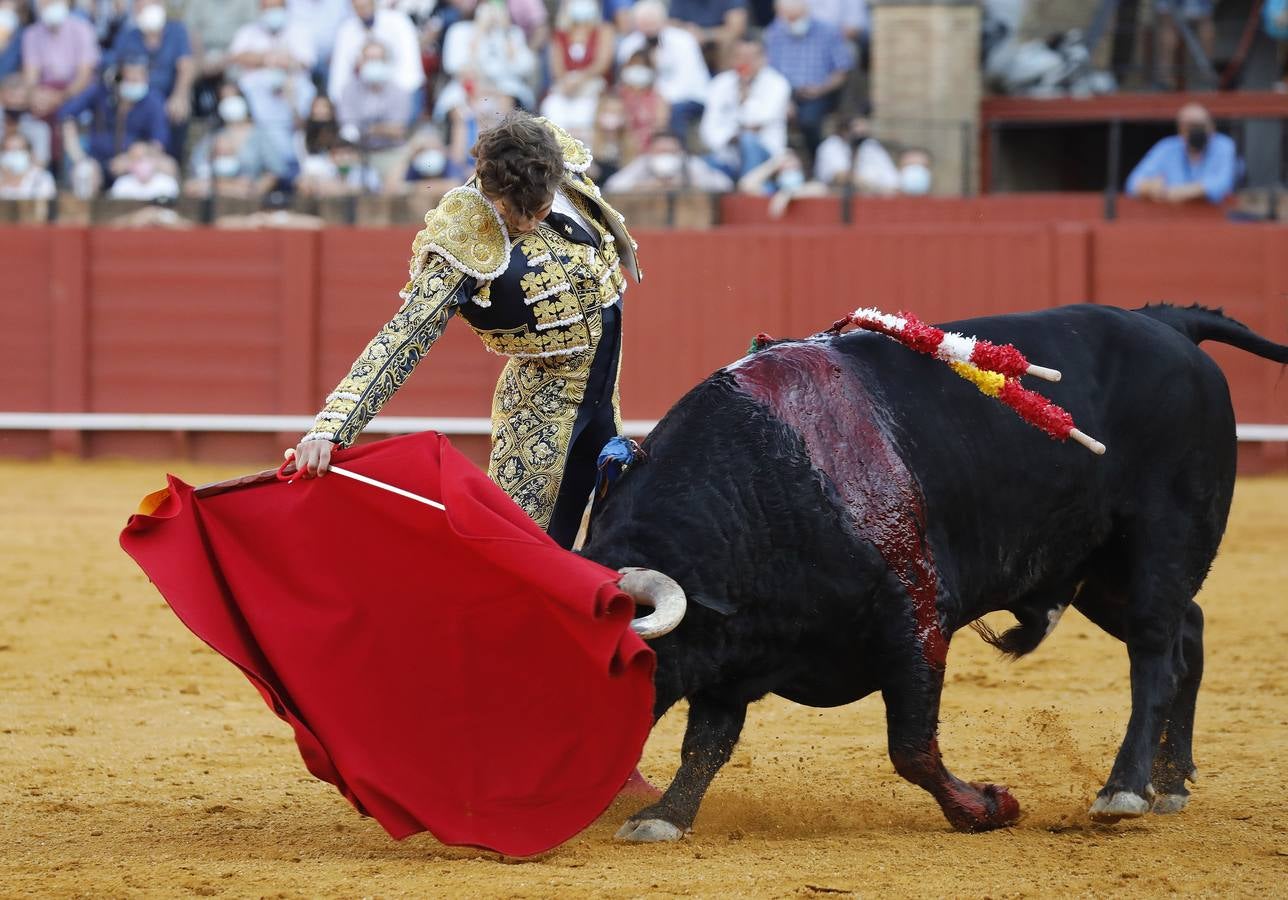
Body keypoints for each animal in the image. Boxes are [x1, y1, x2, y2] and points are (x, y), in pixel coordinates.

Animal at [584, 305, 1288, 844]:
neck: (764, 482)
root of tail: (1165, 323)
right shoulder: (731, 652)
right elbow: (705, 744)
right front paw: (665, 817)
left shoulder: (916, 625)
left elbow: (912, 748)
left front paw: (991, 806)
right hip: (1100, 576)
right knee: (1189, 633)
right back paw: (1171, 781)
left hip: (1157, 549)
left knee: (1155, 657)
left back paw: (1125, 790)